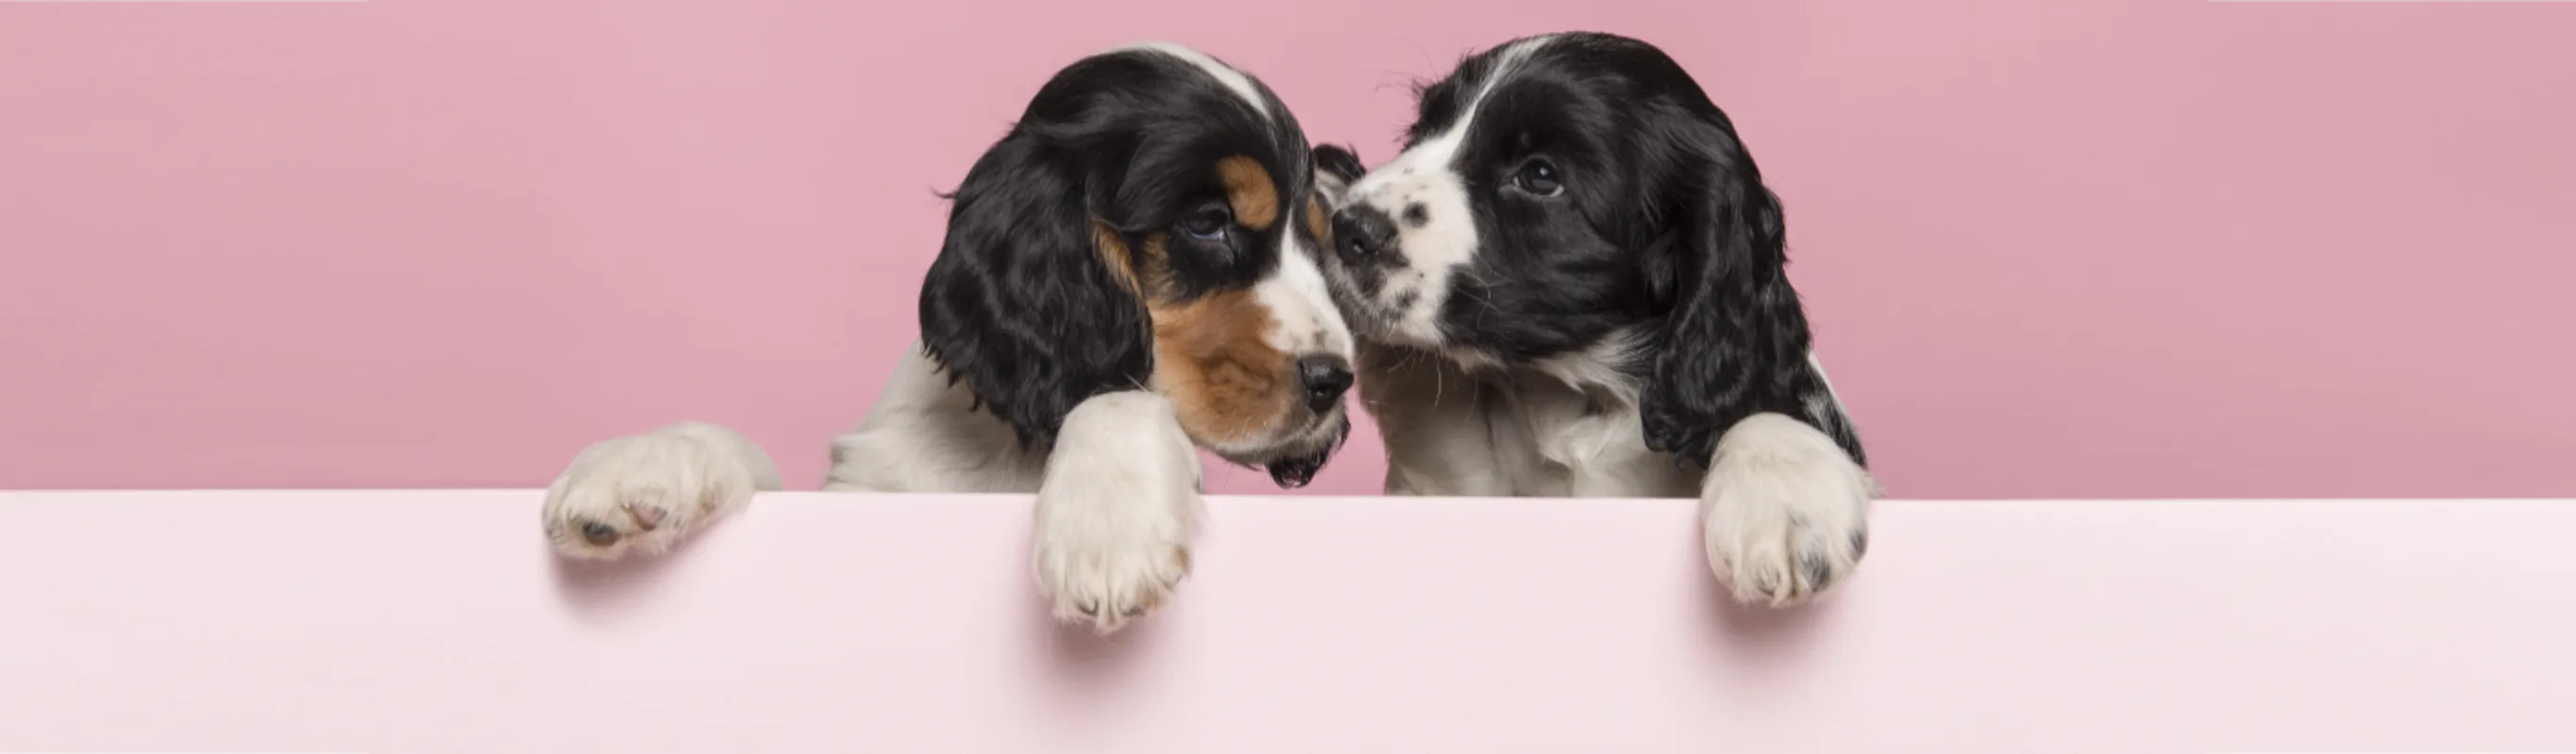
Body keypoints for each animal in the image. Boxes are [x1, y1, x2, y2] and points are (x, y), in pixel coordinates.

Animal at [546, 39, 1370, 628]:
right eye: (1207, 223)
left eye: (1321, 238)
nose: (1334, 382)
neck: (1011, 450)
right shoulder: (862, 499)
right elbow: (750, 457)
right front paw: (640, 468)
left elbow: (1118, 397)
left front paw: (1106, 529)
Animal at [1318, 33, 1885, 604]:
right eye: (1421, 130)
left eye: (1540, 175)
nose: (1348, 229)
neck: (1574, 394)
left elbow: (1755, 411)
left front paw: (1785, 503)